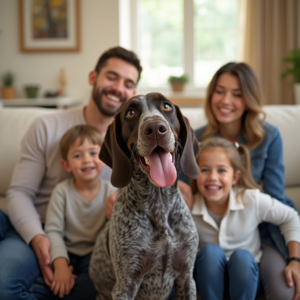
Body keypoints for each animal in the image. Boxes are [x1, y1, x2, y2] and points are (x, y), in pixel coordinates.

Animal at [90, 92, 200, 298]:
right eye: (130, 113)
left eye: (166, 106)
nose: (155, 128)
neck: (159, 203)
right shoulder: (125, 286)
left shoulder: (186, 279)